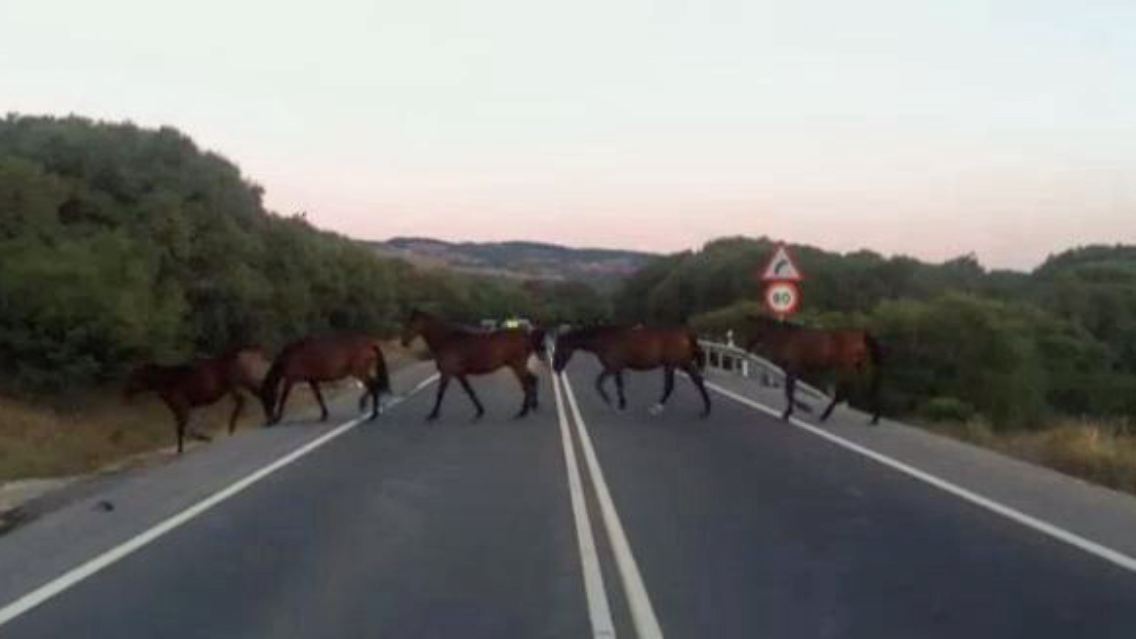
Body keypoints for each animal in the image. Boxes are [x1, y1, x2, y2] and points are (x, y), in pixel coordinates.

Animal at [124, 347, 271, 454]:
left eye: (134, 376)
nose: (126, 393)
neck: (166, 382)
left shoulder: (182, 407)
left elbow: (182, 428)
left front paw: (199, 441)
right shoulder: (186, 408)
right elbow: (186, 427)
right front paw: (189, 445)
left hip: (235, 385)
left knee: (244, 400)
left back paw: (233, 427)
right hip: (241, 383)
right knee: (256, 394)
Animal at [261, 333, 391, 425]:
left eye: (267, 398)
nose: (268, 420)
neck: (290, 355)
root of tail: (370, 343)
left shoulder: (290, 379)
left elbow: (283, 398)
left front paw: (277, 418)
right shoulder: (312, 380)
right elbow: (319, 396)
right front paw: (324, 415)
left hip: (359, 372)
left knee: (373, 385)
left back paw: (372, 413)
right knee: (375, 384)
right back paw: (368, 407)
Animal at [400, 309, 546, 421]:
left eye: (411, 324)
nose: (403, 342)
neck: (446, 340)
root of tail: (525, 335)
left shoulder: (447, 372)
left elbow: (440, 393)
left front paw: (432, 414)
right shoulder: (459, 373)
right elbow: (470, 391)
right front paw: (480, 411)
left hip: (517, 365)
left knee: (527, 384)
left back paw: (523, 411)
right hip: (518, 365)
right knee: (532, 380)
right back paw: (533, 405)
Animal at [552, 324, 711, 417]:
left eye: (559, 348)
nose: (555, 368)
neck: (604, 339)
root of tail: (687, 335)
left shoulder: (612, 367)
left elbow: (599, 383)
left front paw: (610, 401)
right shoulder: (617, 368)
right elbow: (619, 385)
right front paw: (621, 404)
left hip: (672, 365)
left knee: (670, 386)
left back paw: (657, 407)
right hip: (683, 364)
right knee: (698, 381)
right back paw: (706, 409)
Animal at [742, 315, 882, 424]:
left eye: (751, 329)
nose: (746, 349)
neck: (786, 339)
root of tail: (862, 335)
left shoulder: (792, 369)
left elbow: (789, 391)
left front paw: (794, 411)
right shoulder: (792, 371)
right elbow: (789, 391)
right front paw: (794, 410)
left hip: (846, 369)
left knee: (843, 392)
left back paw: (824, 416)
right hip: (858, 368)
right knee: (867, 389)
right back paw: (874, 417)